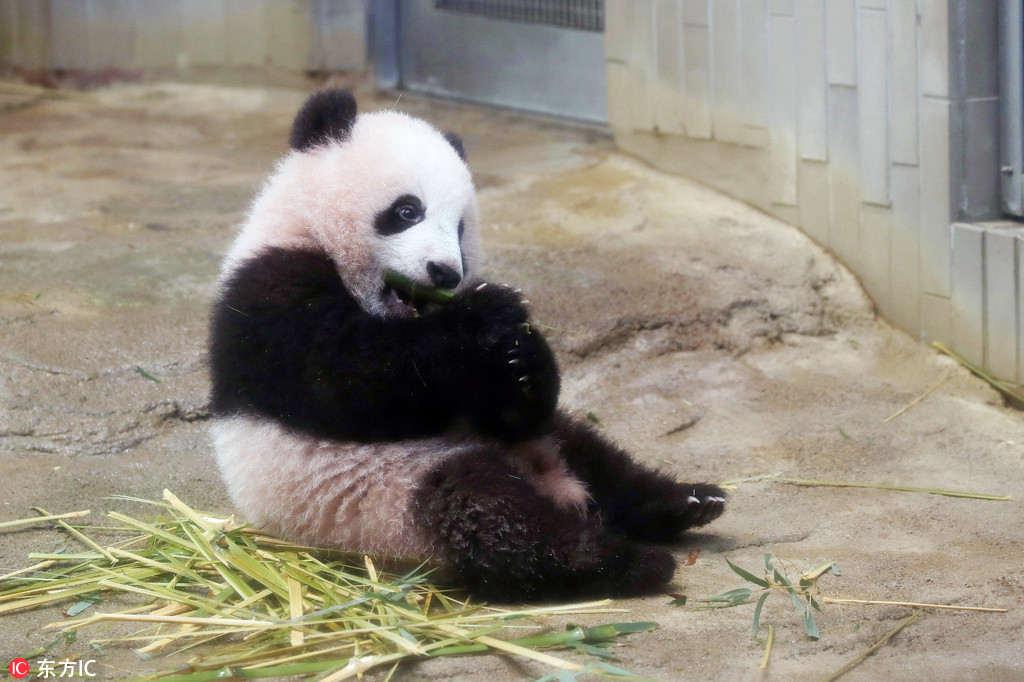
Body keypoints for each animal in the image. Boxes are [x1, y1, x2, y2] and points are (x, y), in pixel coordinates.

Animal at [207, 87, 724, 598]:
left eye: (459, 228)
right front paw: (490, 311)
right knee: (489, 515)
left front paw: (525, 361)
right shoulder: (270, 294)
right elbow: (349, 379)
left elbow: (497, 404)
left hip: (542, 444)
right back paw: (627, 562)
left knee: (594, 457)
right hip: (386, 493)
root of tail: (555, 485)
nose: (445, 273)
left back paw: (689, 500)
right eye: (406, 211)